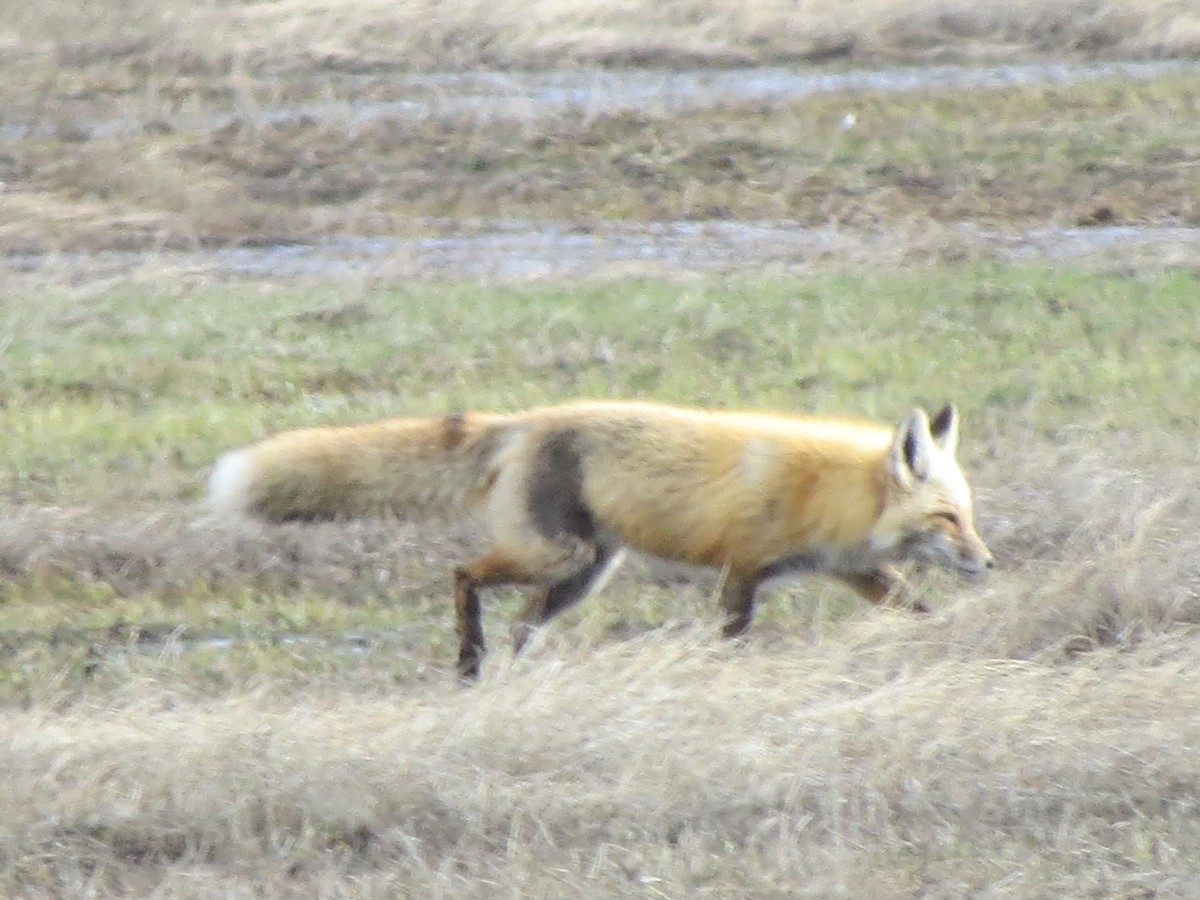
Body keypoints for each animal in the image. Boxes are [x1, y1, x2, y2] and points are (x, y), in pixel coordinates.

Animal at [208, 400, 993, 676]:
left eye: (969, 514)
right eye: (948, 520)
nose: (988, 562)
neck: (832, 494)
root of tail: (523, 421)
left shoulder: (853, 572)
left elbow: (914, 607)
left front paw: (946, 641)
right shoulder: (740, 567)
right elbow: (732, 633)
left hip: (582, 575)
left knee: (523, 621)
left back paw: (512, 674)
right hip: (559, 557)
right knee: (463, 575)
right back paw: (469, 660)